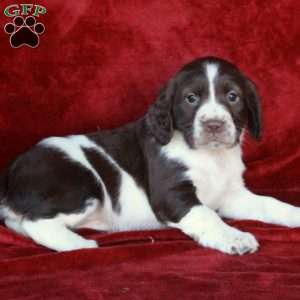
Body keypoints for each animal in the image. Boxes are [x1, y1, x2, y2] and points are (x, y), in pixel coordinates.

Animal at [0, 57, 298, 254]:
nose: (214, 125)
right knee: (34, 221)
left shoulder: (231, 195)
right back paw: (79, 244)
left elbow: (269, 203)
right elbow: (207, 216)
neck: (210, 157)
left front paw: (294, 214)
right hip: (83, 183)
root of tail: (9, 176)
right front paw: (234, 238)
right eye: (191, 98)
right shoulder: (173, 195)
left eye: (233, 96)